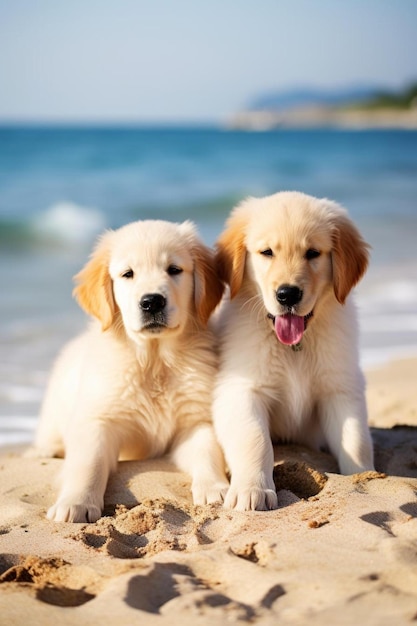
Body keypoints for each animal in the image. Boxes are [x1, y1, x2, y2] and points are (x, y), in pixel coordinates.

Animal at [31, 219, 228, 520]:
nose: (152, 301)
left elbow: (208, 451)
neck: (153, 361)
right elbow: (87, 464)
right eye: (127, 274)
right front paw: (76, 503)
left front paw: (215, 488)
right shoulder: (97, 420)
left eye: (174, 269)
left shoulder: (195, 420)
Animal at [214, 193, 374, 510]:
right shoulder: (240, 390)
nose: (287, 295)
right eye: (267, 252)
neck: (294, 346)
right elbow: (255, 439)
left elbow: (355, 440)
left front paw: (364, 477)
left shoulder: (341, 387)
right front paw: (252, 489)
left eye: (312, 253)